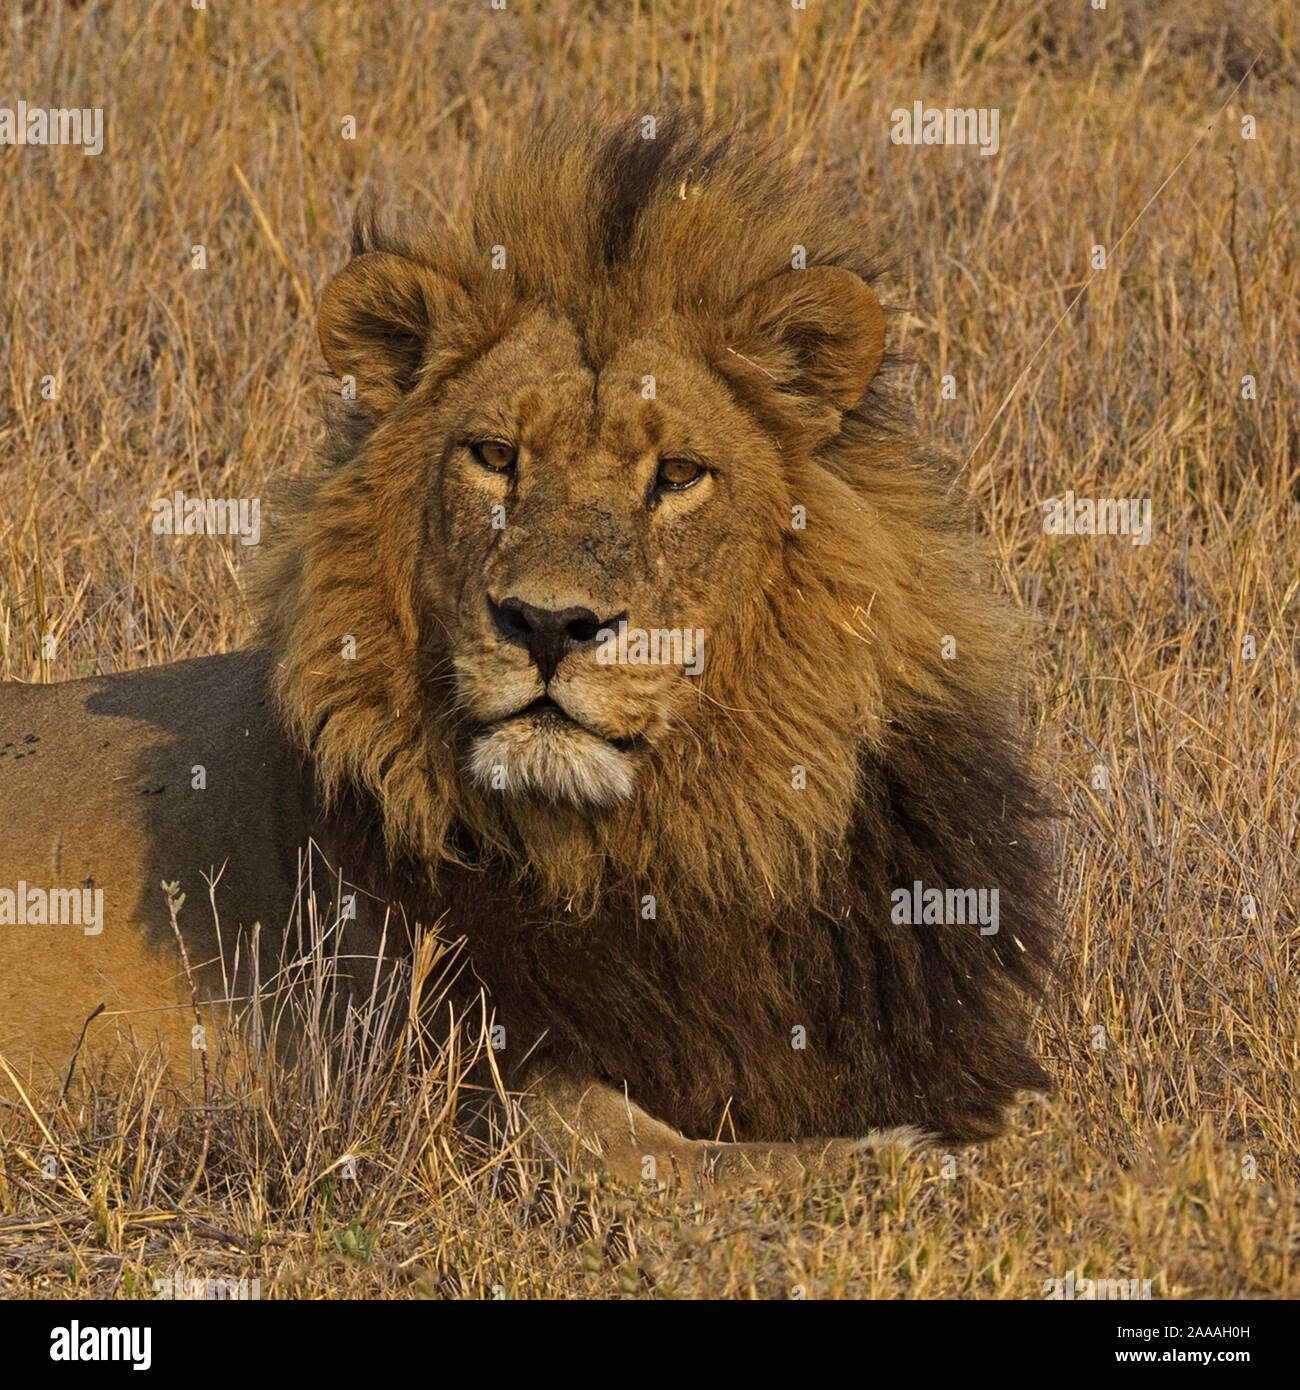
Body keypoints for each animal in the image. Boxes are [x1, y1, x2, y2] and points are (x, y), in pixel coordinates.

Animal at [0, 115, 1055, 1184]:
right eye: (495, 457)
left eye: (678, 475)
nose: (549, 624)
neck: (694, 848)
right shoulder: (452, 1081)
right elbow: (706, 1161)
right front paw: (904, 1156)